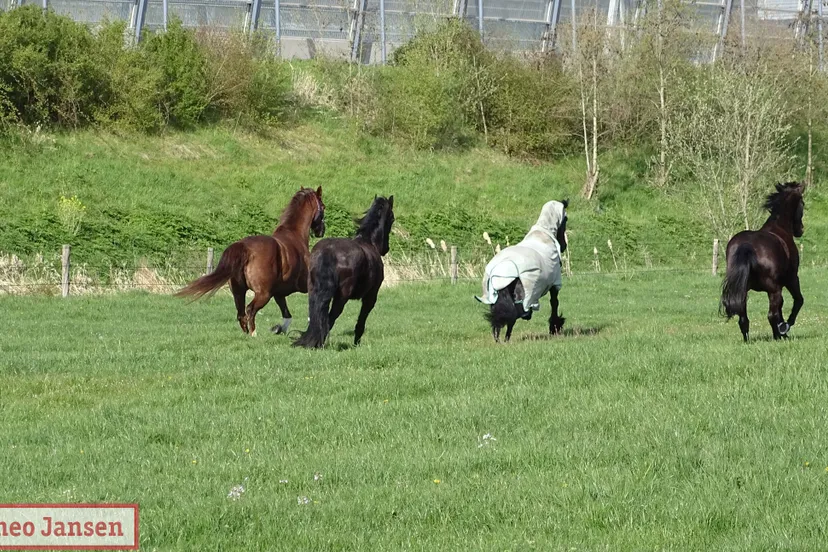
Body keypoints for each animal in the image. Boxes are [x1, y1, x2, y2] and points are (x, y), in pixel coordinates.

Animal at [175, 186, 325, 337]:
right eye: (323, 206)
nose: (321, 231)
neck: (294, 236)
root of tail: (244, 247)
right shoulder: (304, 286)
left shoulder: (278, 293)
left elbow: (286, 314)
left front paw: (279, 329)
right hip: (263, 294)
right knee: (250, 310)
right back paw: (254, 335)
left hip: (239, 292)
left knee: (241, 314)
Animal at [293, 195, 395, 349]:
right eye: (392, 218)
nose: (386, 248)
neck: (368, 242)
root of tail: (328, 251)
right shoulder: (370, 297)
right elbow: (361, 322)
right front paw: (356, 343)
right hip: (341, 297)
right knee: (329, 319)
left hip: (313, 292)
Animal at [476, 200, 568, 343]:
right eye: (566, 220)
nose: (564, 246)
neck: (542, 236)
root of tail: (502, 269)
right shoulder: (555, 286)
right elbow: (554, 304)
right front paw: (555, 327)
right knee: (518, 314)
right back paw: (506, 339)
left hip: (495, 298)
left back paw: (499, 338)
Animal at [721, 181, 805, 342]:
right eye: (802, 204)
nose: (801, 230)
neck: (779, 227)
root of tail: (747, 246)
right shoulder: (791, 279)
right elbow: (798, 301)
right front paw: (786, 326)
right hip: (774, 289)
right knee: (772, 315)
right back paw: (780, 334)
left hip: (743, 290)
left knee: (744, 318)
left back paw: (749, 340)